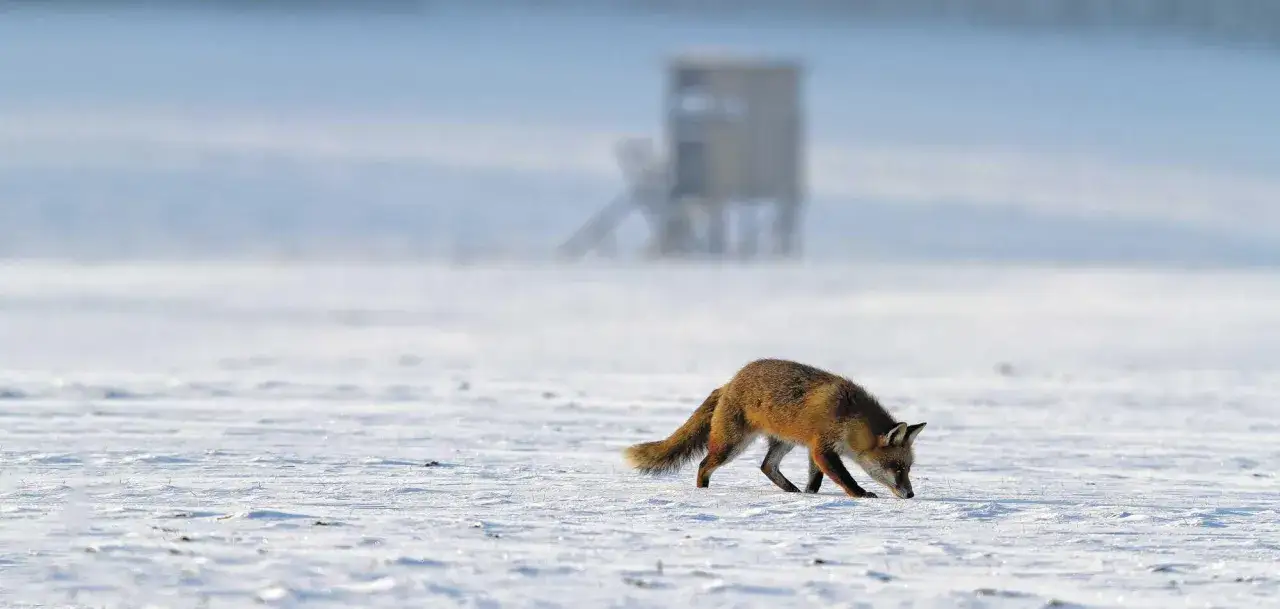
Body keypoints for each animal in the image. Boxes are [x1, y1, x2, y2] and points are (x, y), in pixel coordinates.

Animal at [624, 358, 926, 499]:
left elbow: (815, 480)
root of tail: (729, 383)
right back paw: (703, 491)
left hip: (784, 441)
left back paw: (791, 491)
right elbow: (844, 478)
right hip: (732, 444)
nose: (910, 494)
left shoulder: (814, 448)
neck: (849, 415)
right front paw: (861, 495)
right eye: (898, 468)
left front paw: (810, 495)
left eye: (908, 468)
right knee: (703, 464)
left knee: (766, 466)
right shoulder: (823, 447)